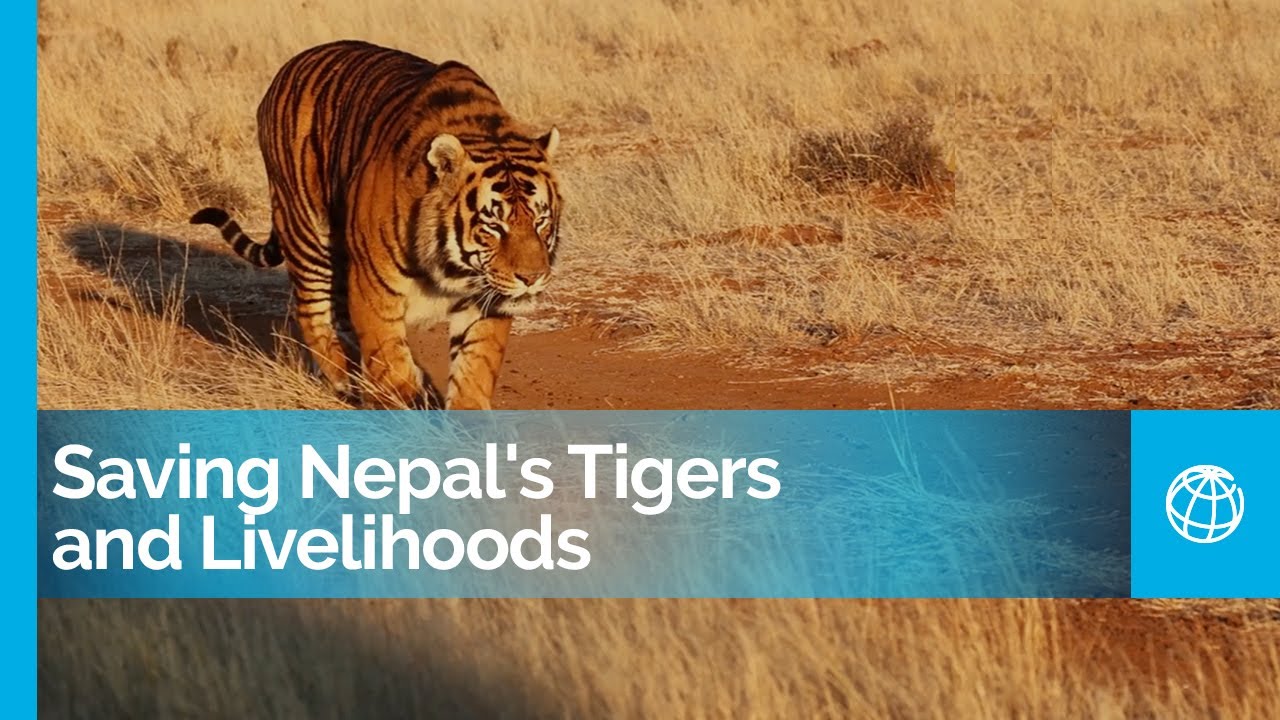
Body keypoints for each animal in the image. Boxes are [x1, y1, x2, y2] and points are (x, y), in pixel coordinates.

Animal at [191, 40, 562, 410]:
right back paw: (344, 378)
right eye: (494, 226)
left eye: (540, 220)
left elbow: (476, 365)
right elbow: (389, 359)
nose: (531, 278)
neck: (452, 269)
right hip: (307, 233)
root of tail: (292, 64)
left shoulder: (486, 298)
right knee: (312, 311)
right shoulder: (374, 286)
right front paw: (401, 398)